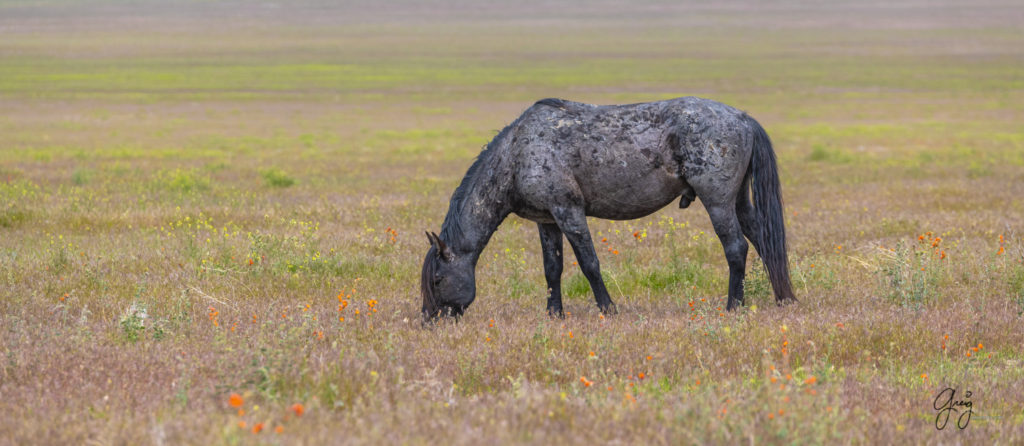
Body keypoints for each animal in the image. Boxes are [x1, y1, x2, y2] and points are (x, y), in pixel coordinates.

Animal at [419, 95, 794, 319]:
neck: (518, 153)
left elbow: (589, 264)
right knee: (764, 242)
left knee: (737, 248)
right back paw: (784, 298)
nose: (428, 320)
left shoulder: (568, 213)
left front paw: (607, 308)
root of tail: (742, 117)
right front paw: (554, 313)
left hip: (718, 203)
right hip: (739, 202)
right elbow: (552, 269)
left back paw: (733, 305)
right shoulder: (547, 221)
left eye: (437, 279)